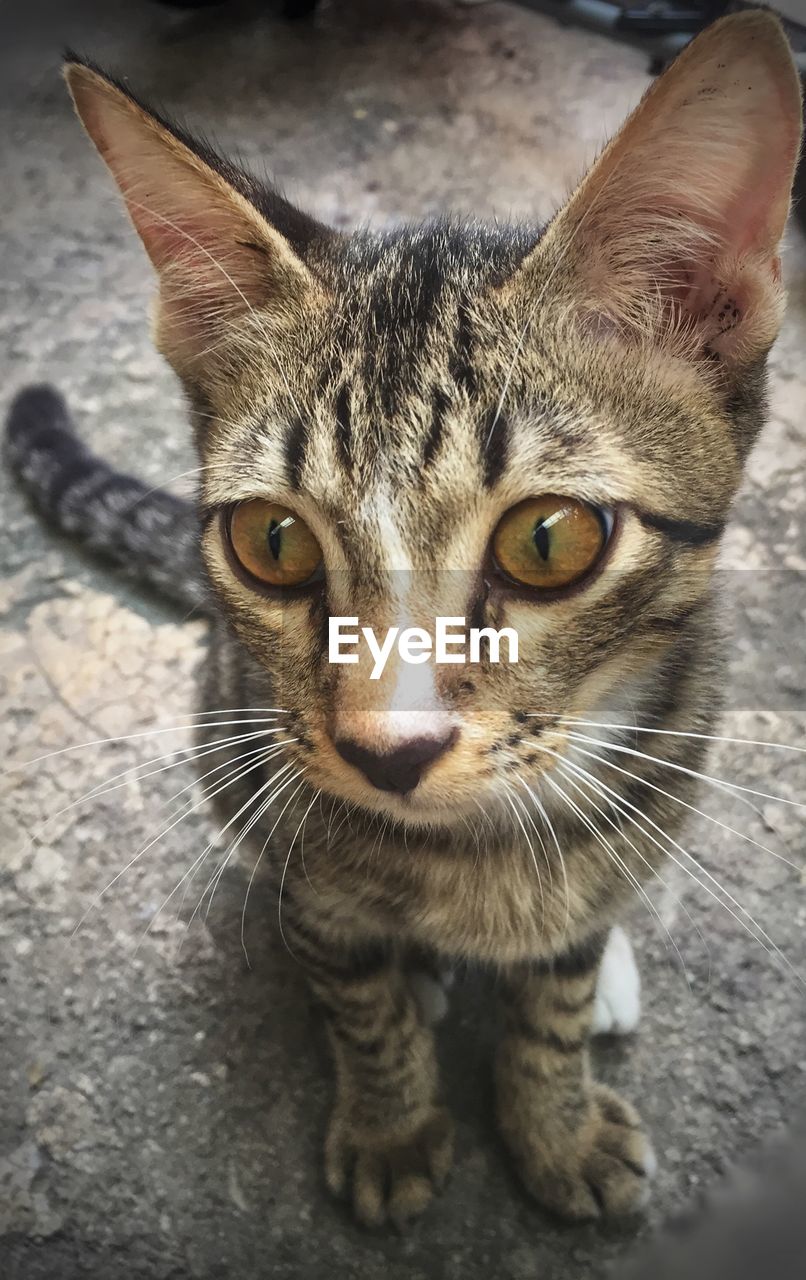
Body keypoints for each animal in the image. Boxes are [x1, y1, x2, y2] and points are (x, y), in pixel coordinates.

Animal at [4, 10, 803, 1228]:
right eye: (273, 543)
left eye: (548, 541)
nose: (389, 750)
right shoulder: (301, 836)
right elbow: (356, 998)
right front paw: (391, 1122)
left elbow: (556, 985)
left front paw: (555, 1117)